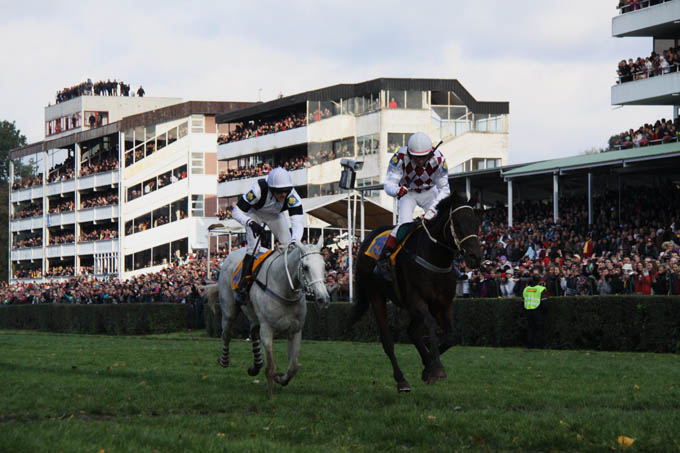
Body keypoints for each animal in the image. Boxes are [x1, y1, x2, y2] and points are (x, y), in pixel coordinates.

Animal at [202, 240, 330, 396]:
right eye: (305, 267)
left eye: (324, 265)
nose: (323, 299)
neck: (284, 289)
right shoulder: (267, 329)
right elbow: (270, 366)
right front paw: (271, 394)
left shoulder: (295, 331)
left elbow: (293, 366)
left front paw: (280, 379)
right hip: (229, 310)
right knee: (226, 334)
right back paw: (224, 360)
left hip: (252, 314)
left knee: (253, 331)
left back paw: (256, 366)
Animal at [348, 191, 480, 392]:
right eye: (457, 224)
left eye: (476, 222)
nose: (476, 257)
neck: (434, 257)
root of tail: (366, 240)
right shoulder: (417, 299)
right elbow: (431, 326)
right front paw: (436, 368)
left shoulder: (443, 304)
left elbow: (451, 336)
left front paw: (428, 367)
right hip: (376, 295)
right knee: (388, 340)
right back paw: (401, 380)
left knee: (412, 332)